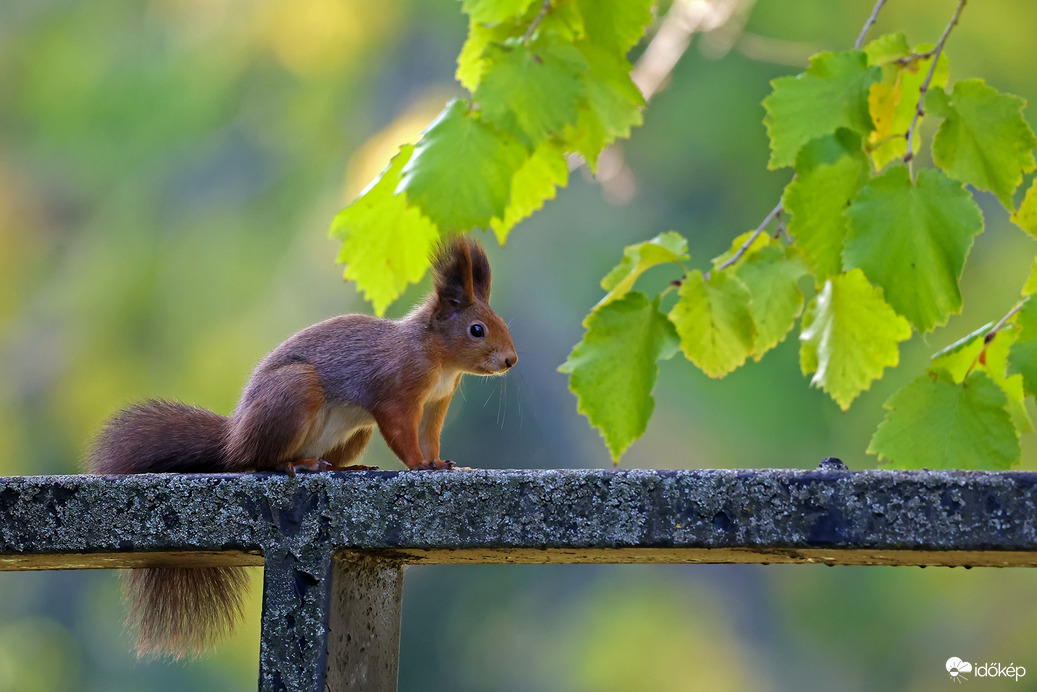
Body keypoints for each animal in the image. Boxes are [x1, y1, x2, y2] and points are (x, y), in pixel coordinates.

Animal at [87, 235, 516, 659]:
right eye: (477, 330)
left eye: (500, 324)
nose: (510, 360)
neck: (438, 357)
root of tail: (235, 436)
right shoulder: (396, 393)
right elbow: (401, 433)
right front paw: (419, 464)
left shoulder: (436, 403)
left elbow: (430, 436)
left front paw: (440, 463)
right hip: (296, 391)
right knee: (259, 460)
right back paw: (297, 465)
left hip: (354, 433)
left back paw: (339, 467)